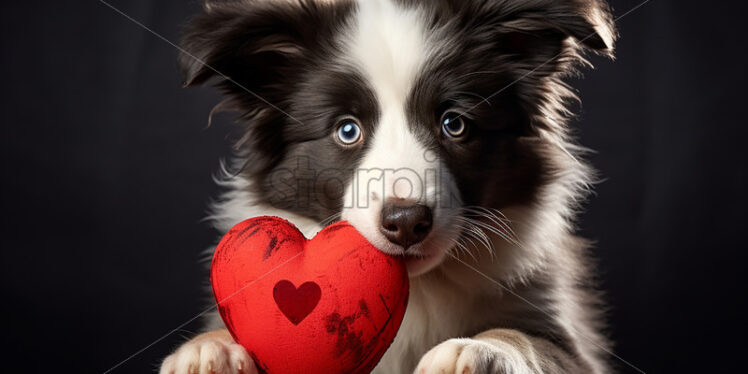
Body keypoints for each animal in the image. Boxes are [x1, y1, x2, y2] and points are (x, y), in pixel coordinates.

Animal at [162, 0, 620, 374]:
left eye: (454, 124)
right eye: (347, 130)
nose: (406, 221)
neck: (417, 289)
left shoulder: (565, 335)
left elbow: (528, 340)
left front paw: (479, 349)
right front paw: (210, 348)